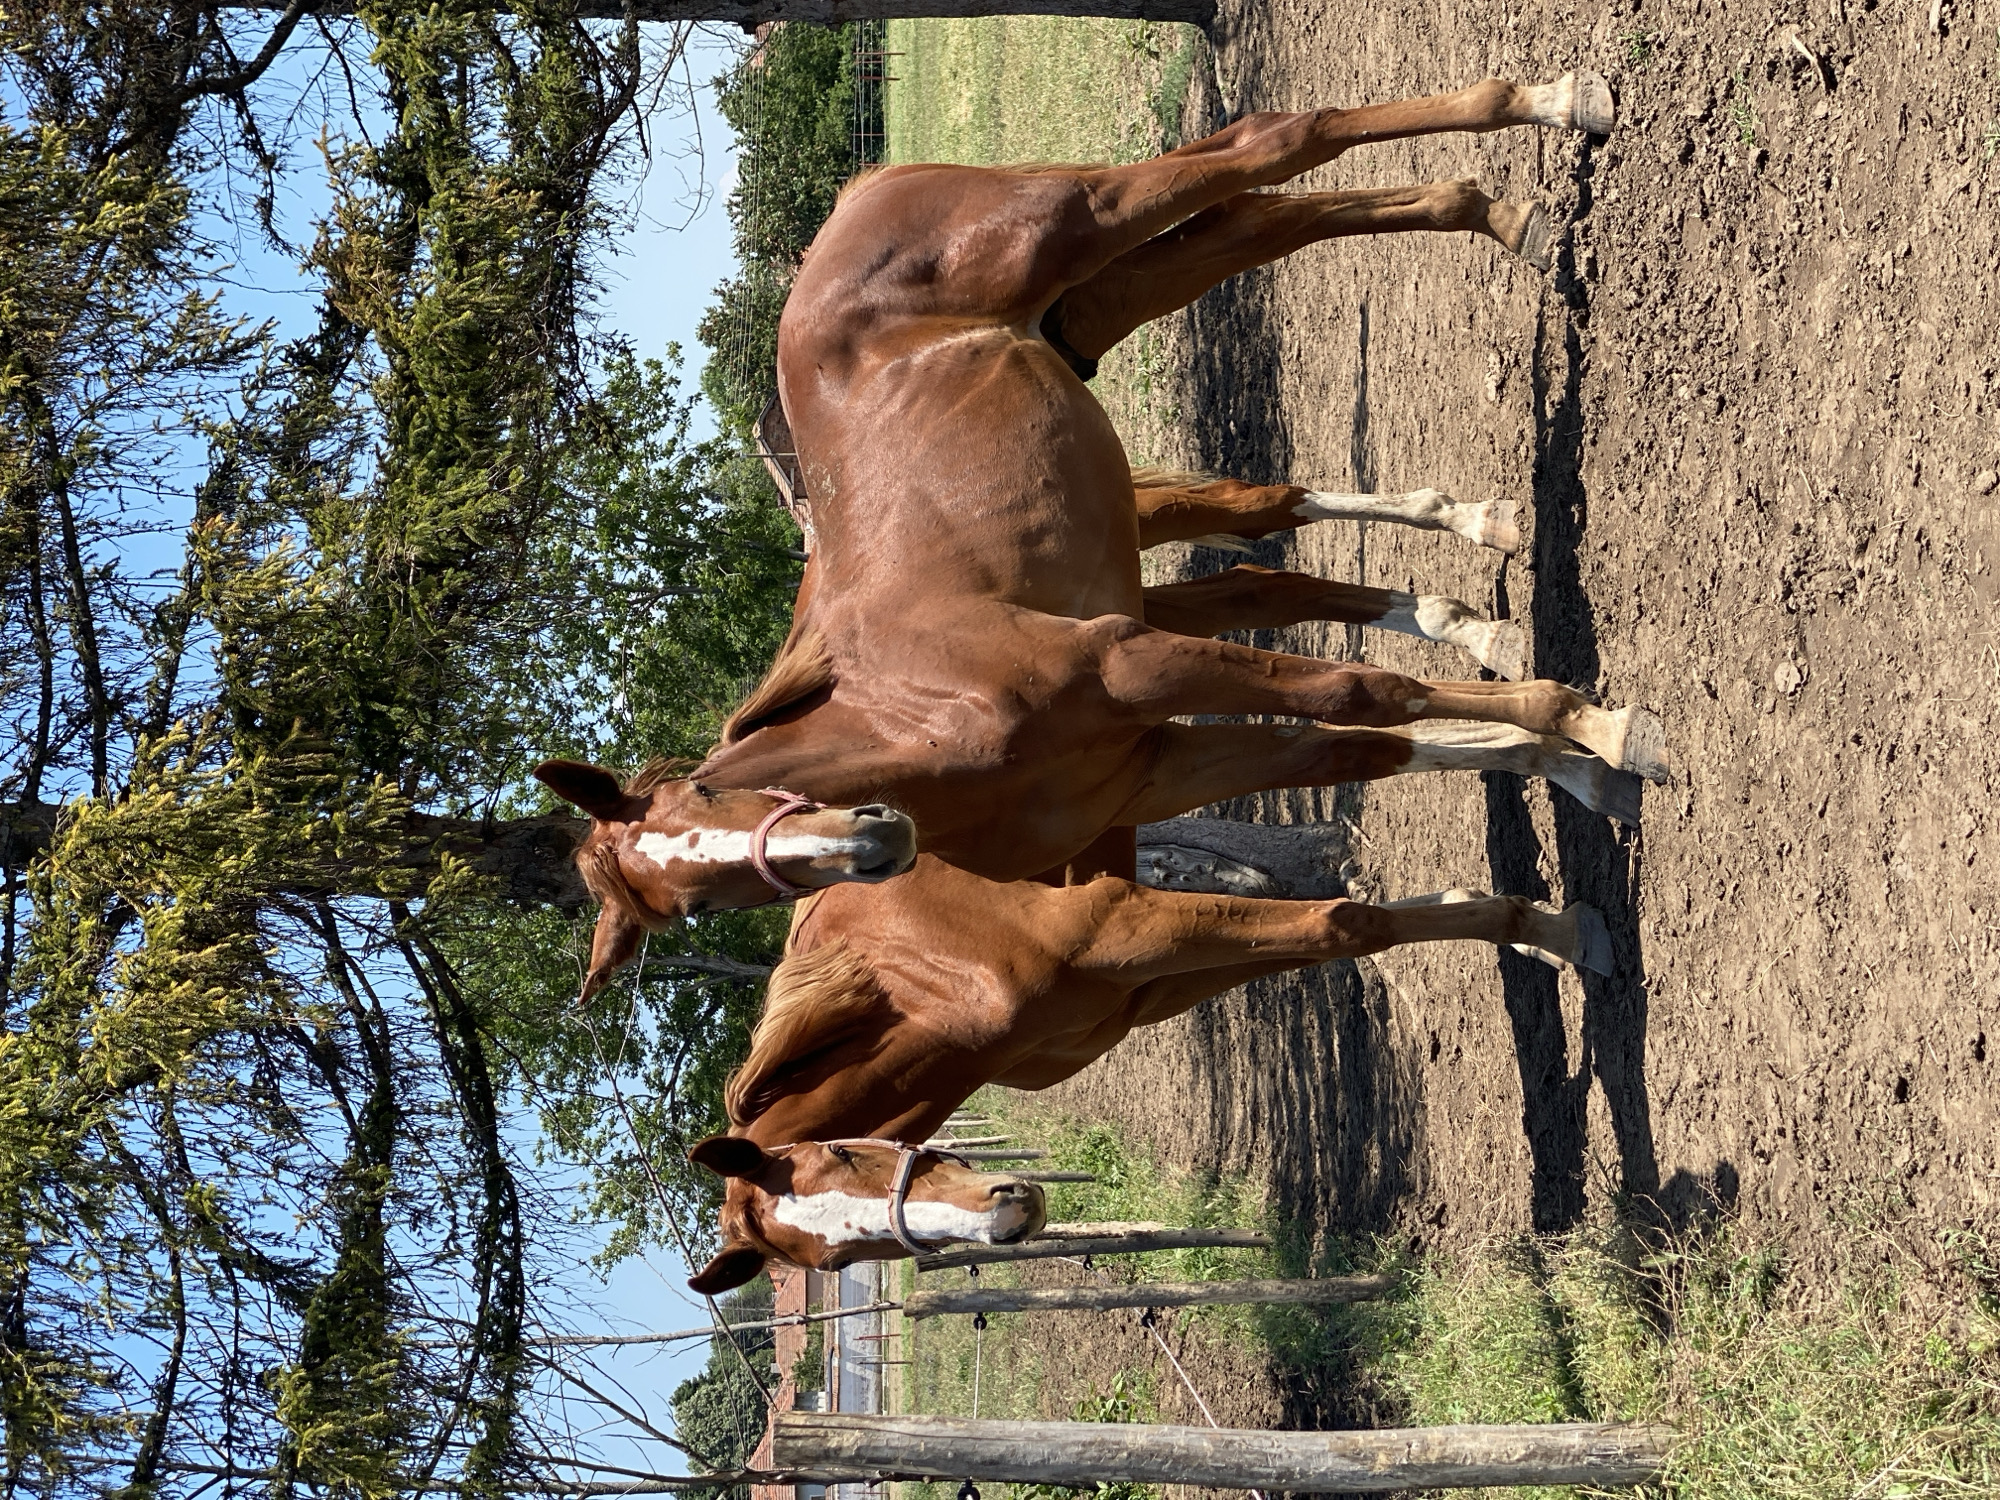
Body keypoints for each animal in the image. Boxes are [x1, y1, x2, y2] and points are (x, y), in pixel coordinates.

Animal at [681, 856, 1612, 1289]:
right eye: (838, 1260)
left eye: (843, 1152)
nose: (1006, 1215)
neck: (922, 985)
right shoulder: (1138, 986)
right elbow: (1337, 931)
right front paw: (1527, 928)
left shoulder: (1126, 923)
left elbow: (1344, 924)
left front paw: (1566, 931)